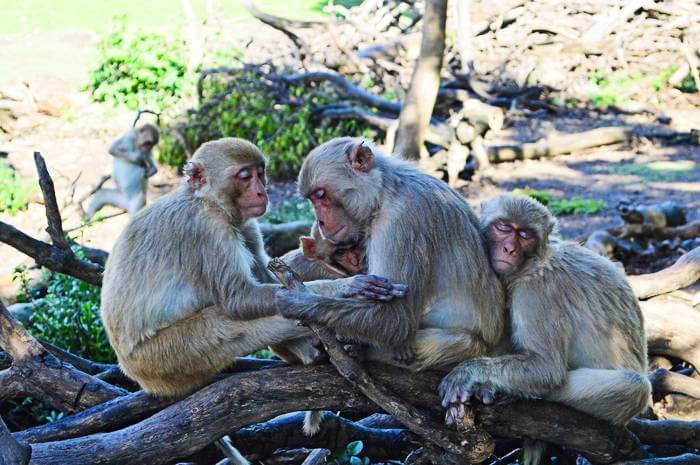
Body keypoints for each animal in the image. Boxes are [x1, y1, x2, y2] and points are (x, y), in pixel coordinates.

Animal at [99, 137, 404, 396]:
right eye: (244, 177)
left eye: (260, 172)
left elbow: (267, 274)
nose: (261, 192)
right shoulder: (208, 230)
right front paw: (347, 286)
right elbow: (238, 300)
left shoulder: (246, 224)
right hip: (164, 359)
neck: (209, 202)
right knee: (227, 325)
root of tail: (132, 371)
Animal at [278, 137, 504, 370]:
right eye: (311, 199)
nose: (321, 221)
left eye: (320, 195)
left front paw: (299, 300)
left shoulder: (399, 221)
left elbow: (396, 320)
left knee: (465, 342)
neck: (385, 192)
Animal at [442, 194, 652, 462]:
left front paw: (470, 373)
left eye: (525, 235)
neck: (530, 263)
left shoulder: (537, 292)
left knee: (636, 387)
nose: (509, 249)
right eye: (503, 228)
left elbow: (547, 368)